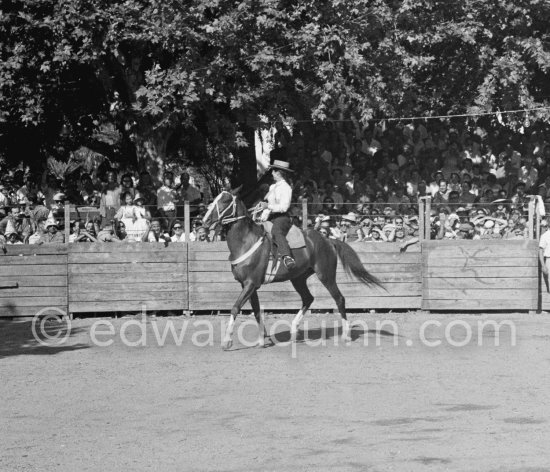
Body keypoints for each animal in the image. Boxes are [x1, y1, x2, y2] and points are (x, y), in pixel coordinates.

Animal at [203, 189, 384, 350]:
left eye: (225, 200)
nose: (205, 221)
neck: (246, 241)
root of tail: (328, 240)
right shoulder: (248, 285)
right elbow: (256, 311)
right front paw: (261, 340)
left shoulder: (251, 283)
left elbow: (235, 307)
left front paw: (227, 341)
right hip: (298, 278)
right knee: (308, 299)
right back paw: (293, 330)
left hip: (326, 275)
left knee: (339, 299)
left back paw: (346, 334)